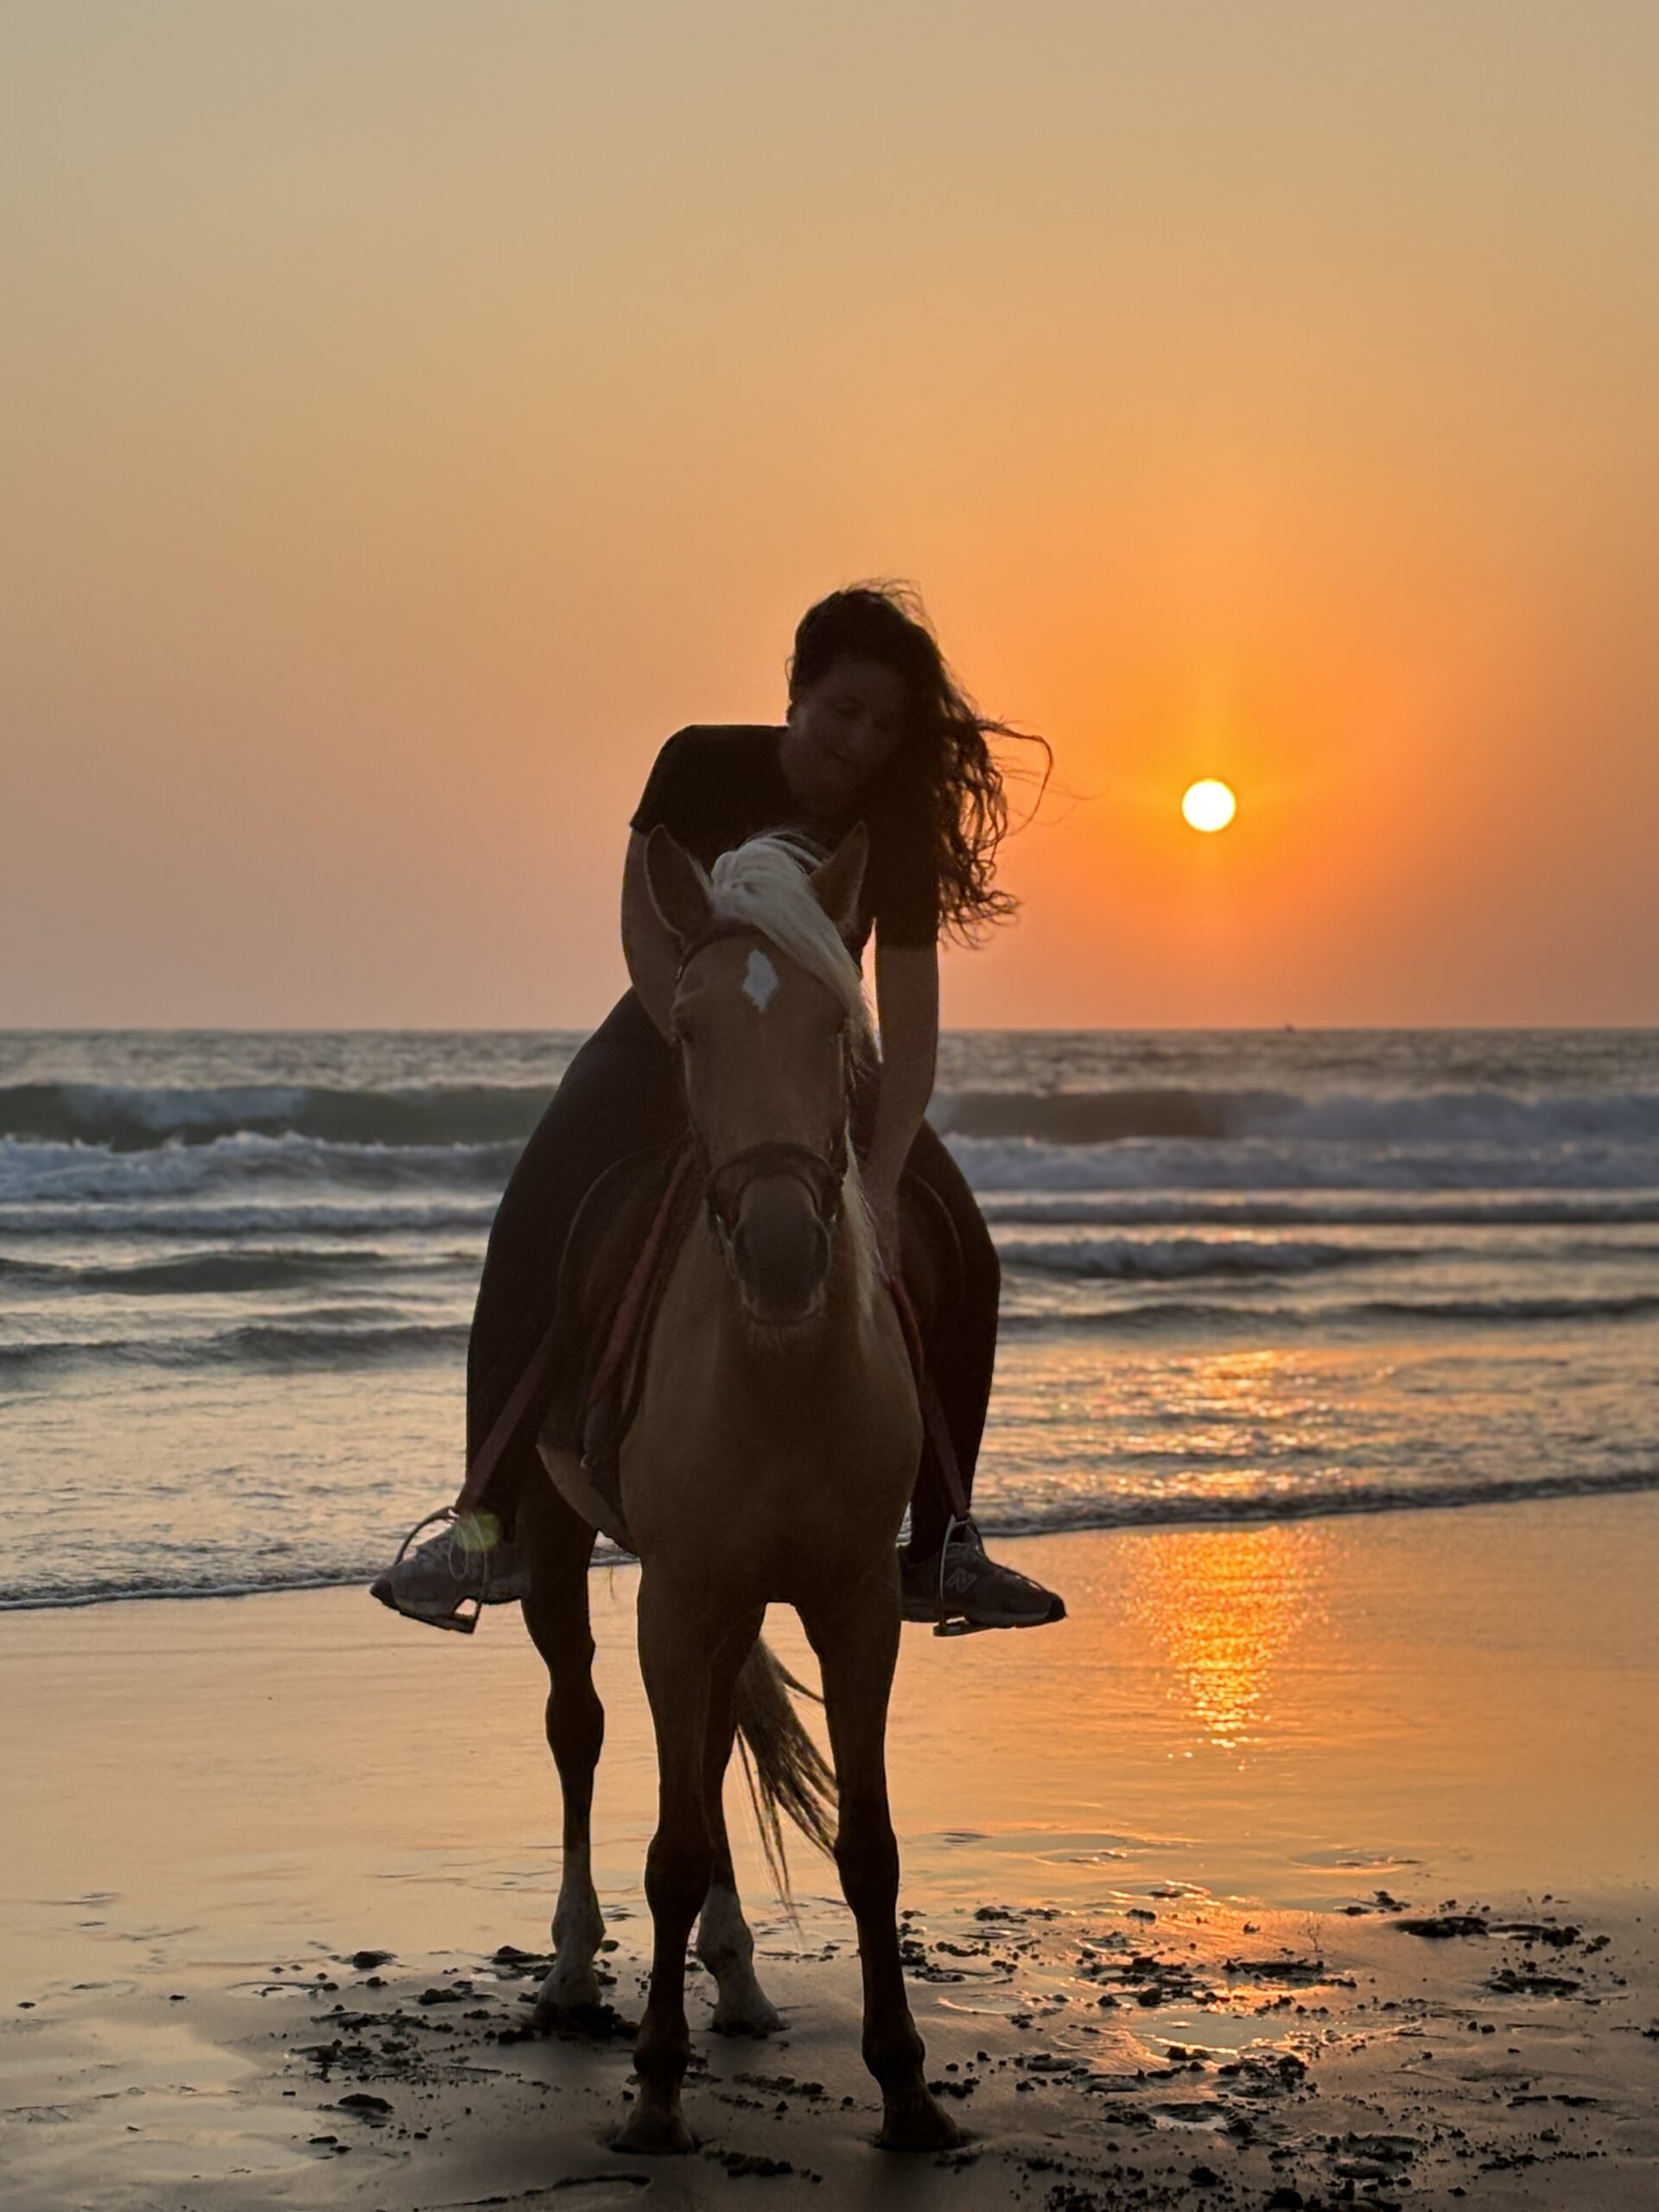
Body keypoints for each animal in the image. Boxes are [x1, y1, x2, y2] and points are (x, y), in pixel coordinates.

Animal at [519, 823, 962, 2157]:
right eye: (690, 1027)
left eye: (835, 1025)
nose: (777, 1248)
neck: (777, 1368)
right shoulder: (678, 1595)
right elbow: (664, 1846)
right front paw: (656, 2093)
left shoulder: (855, 1602)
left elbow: (870, 1846)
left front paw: (907, 2085)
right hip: (565, 1555)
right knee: (580, 1725)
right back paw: (572, 1971)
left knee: (709, 1749)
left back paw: (741, 1978)